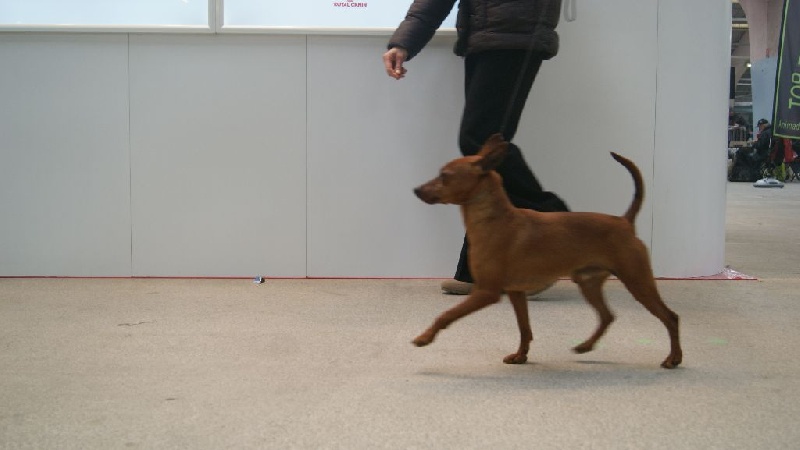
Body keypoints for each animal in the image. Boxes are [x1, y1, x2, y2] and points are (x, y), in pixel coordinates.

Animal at [412, 134, 682, 369]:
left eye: (444, 176)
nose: (416, 189)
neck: (494, 220)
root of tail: (624, 222)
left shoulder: (487, 292)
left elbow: (445, 315)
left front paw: (424, 337)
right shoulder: (516, 292)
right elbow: (524, 328)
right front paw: (521, 356)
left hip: (638, 282)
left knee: (670, 317)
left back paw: (673, 358)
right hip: (588, 282)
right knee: (607, 316)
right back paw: (585, 346)